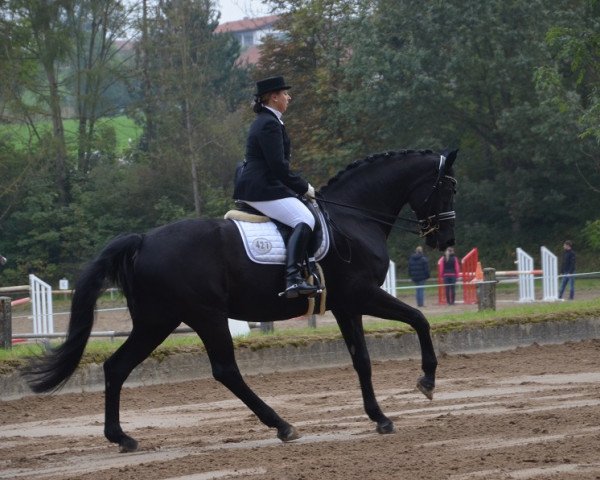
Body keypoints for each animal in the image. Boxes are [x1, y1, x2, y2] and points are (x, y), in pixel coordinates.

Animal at [22, 148, 454, 452]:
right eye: (447, 187)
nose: (444, 241)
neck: (355, 219)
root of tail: (142, 240)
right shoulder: (363, 295)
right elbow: (419, 319)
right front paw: (427, 381)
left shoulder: (347, 306)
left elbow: (362, 360)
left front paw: (380, 417)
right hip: (205, 316)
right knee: (225, 370)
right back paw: (282, 425)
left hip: (156, 321)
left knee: (117, 366)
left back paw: (122, 438)